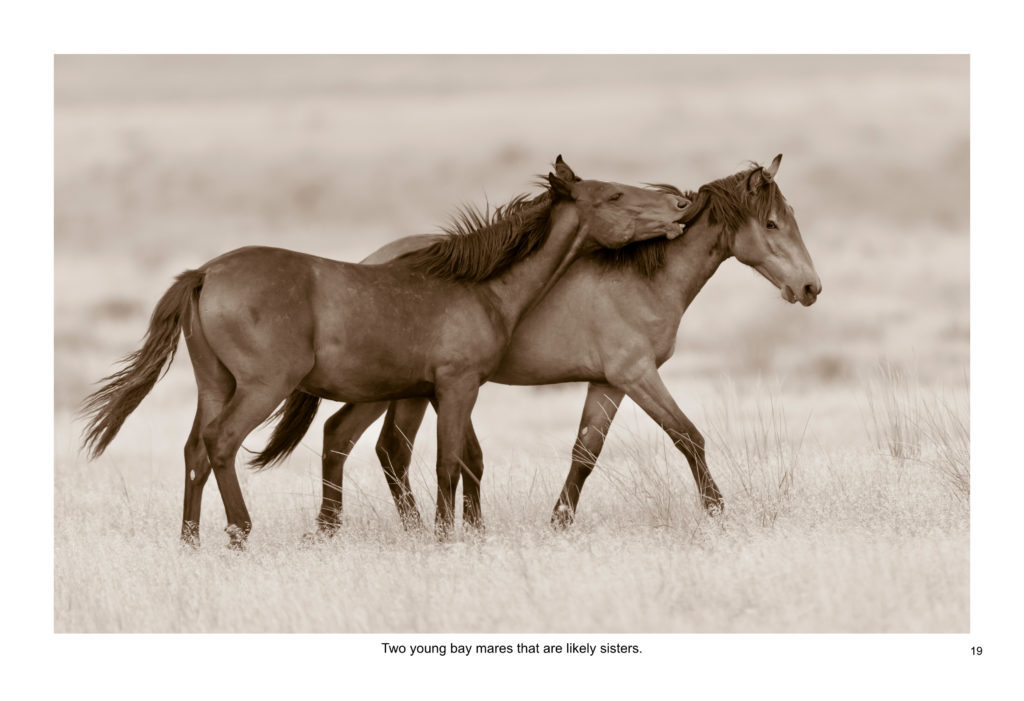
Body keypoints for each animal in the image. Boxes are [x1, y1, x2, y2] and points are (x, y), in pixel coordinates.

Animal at [77, 155, 688, 544]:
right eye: (613, 194)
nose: (679, 204)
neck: (480, 287)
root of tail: (204, 273)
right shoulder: (458, 387)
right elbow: (447, 462)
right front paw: (445, 536)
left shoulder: (425, 392)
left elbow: (444, 460)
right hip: (259, 388)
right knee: (221, 443)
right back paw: (239, 532)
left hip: (214, 384)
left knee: (194, 452)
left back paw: (190, 539)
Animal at [258, 154, 823, 532]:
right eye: (772, 223)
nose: (810, 288)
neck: (643, 278)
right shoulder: (637, 375)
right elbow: (688, 436)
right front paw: (717, 510)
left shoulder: (607, 384)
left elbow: (585, 453)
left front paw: (560, 521)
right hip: (398, 389)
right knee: (382, 448)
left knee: (347, 438)